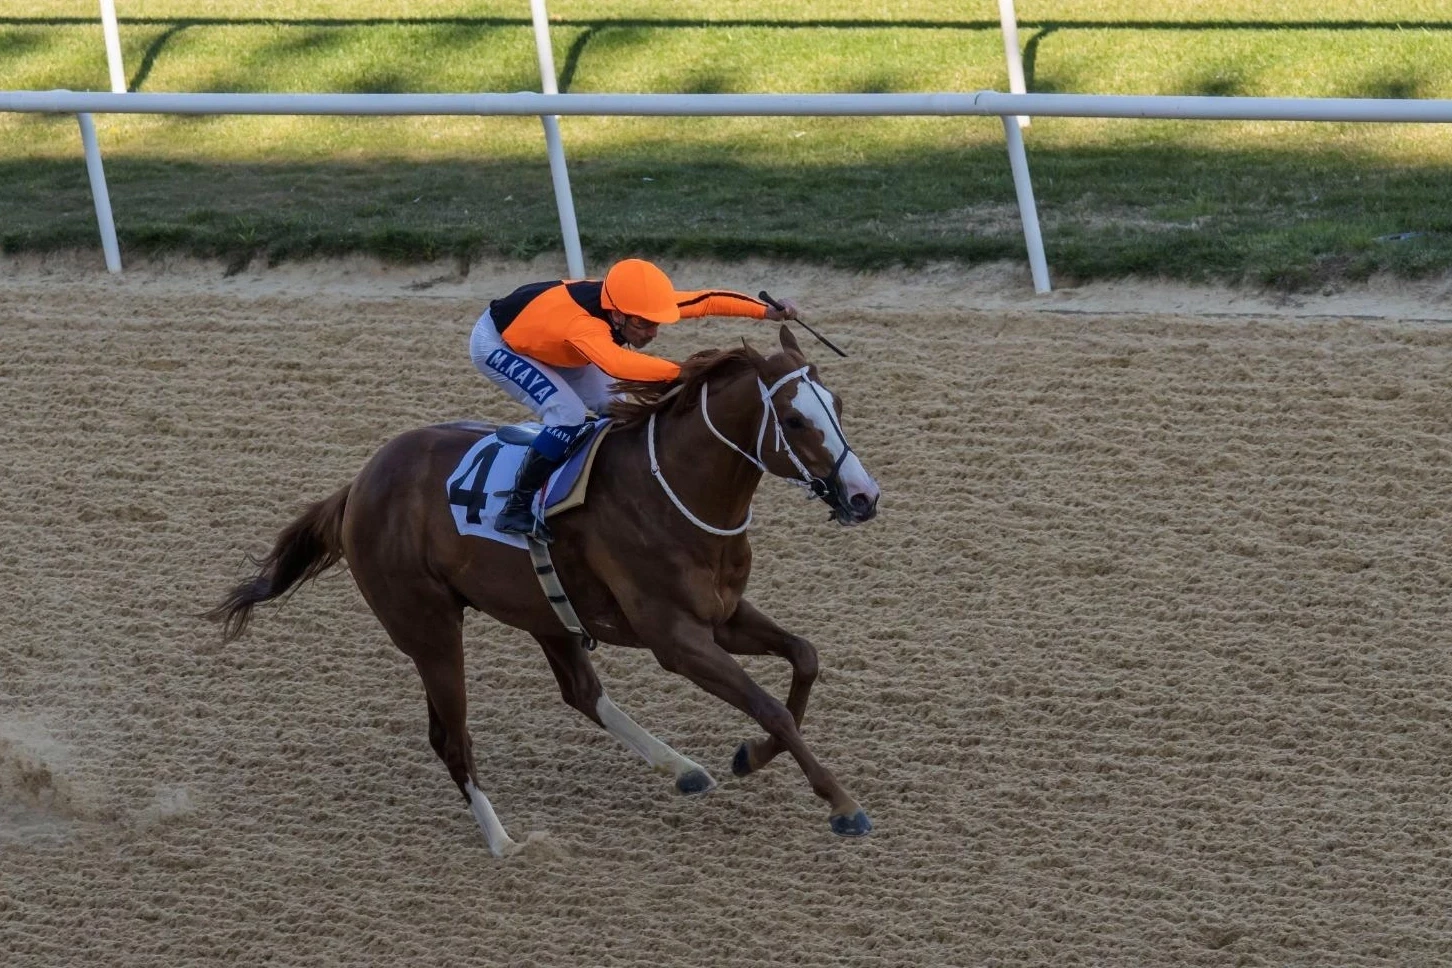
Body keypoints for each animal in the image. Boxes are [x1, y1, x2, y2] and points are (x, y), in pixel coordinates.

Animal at [209, 327, 877, 853]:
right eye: (794, 420)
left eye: (839, 405)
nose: (864, 497)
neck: (674, 492)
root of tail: (358, 484)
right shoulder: (677, 639)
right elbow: (770, 706)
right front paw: (843, 805)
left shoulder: (724, 615)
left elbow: (805, 658)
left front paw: (752, 756)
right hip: (428, 628)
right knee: (451, 737)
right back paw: (504, 843)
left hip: (542, 610)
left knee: (580, 692)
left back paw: (683, 768)